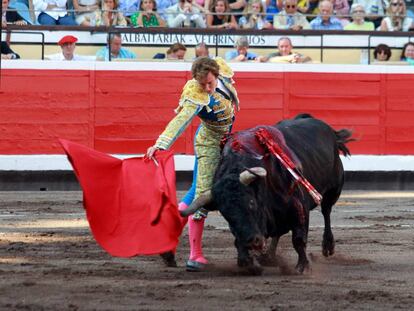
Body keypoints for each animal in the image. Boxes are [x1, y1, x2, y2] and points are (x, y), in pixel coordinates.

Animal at [181, 114, 352, 276]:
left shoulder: (299, 206)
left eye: (251, 202)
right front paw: (249, 264)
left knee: (326, 211)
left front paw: (302, 267)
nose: (252, 242)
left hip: (333, 190)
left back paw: (328, 246)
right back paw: (269, 256)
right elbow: (239, 242)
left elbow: (298, 239)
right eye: (225, 214)